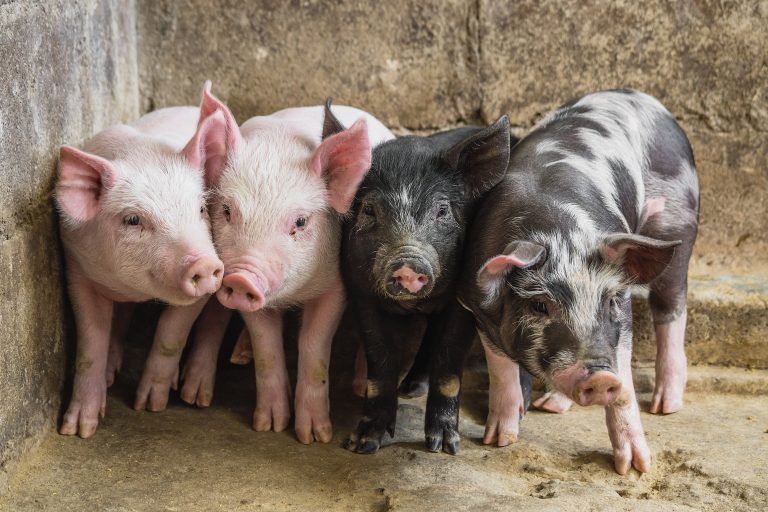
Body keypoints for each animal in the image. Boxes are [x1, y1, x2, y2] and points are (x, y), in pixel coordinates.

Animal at [55, 98, 228, 437]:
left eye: (201, 208)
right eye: (133, 219)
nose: (203, 263)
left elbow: (171, 334)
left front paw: (150, 406)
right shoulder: (77, 267)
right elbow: (90, 345)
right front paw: (78, 430)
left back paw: (194, 396)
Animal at [189, 87, 395, 443]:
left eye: (300, 221)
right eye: (227, 211)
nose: (242, 279)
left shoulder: (336, 284)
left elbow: (313, 346)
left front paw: (315, 436)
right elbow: (267, 348)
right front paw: (268, 425)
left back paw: (358, 386)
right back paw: (234, 362)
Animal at [342, 118, 528, 455]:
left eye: (441, 210)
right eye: (369, 211)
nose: (407, 264)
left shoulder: (465, 299)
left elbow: (449, 365)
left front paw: (444, 447)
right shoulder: (360, 291)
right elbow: (380, 363)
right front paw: (362, 445)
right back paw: (411, 388)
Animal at [458, 89, 699, 474]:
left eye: (609, 301)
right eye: (540, 305)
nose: (600, 378)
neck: (556, 229)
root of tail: (645, 98)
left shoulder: (623, 313)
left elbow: (625, 386)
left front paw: (635, 469)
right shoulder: (478, 309)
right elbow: (501, 372)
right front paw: (498, 440)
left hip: (677, 222)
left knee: (671, 308)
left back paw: (666, 406)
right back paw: (550, 406)